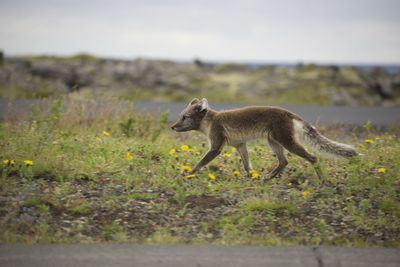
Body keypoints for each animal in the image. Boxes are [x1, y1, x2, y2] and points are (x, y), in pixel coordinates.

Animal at [170, 99, 358, 181]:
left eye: (185, 117)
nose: (172, 126)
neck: (210, 122)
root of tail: (289, 113)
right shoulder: (240, 145)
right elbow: (247, 164)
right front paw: (250, 176)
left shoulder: (216, 146)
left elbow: (201, 162)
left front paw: (189, 172)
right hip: (273, 142)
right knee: (284, 162)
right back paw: (268, 177)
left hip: (286, 142)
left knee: (313, 157)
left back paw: (321, 179)